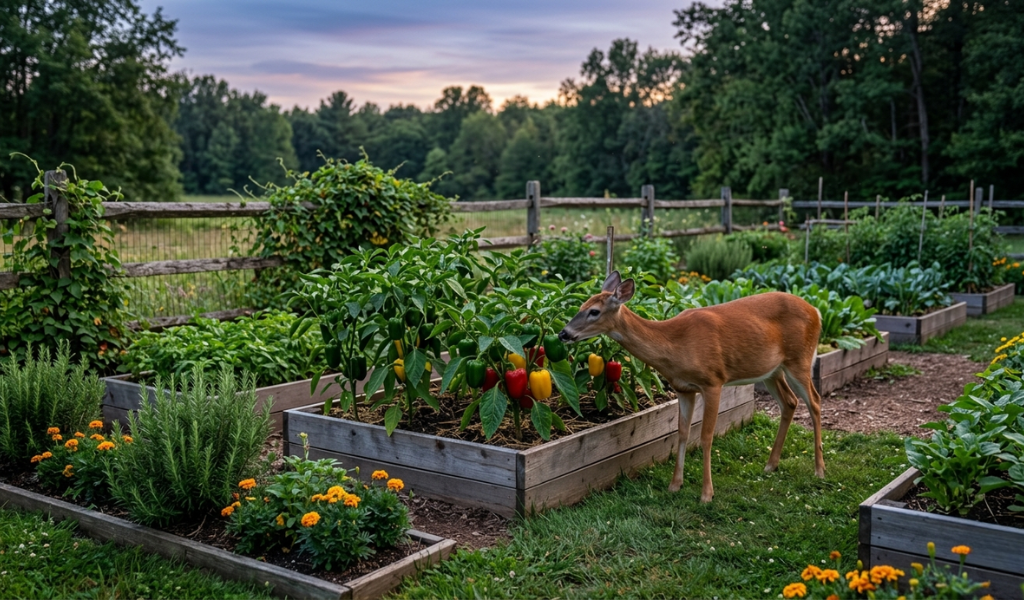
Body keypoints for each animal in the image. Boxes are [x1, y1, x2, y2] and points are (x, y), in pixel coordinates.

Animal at [558, 271, 824, 503]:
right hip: (771, 369)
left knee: (815, 401)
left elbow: (705, 436)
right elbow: (682, 432)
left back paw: (819, 470)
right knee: (790, 402)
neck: (675, 345)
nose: (563, 333)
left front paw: (707, 494)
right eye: (580, 306)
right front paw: (675, 485)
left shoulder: (713, 381)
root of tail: (817, 311)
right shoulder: (684, 389)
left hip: (799, 359)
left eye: (594, 311)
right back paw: (771, 465)